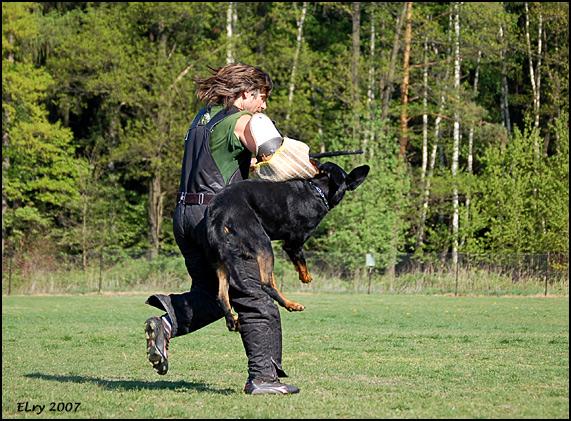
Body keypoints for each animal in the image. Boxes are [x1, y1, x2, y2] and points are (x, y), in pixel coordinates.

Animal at [206, 162, 370, 330]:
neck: (317, 190)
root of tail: (219, 215)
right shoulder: (294, 243)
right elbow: (301, 262)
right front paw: (306, 277)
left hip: (221, 260)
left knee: (222, 295)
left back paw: (232, 320)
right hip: (263, 245)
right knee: (266, 284)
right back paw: (291, 304)